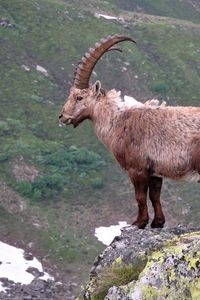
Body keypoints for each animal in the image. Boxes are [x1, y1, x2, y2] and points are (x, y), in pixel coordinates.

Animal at [59, 34, 200, 227]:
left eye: (79, 97)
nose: (62, 116)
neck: (117, 121)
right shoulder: (155, 171)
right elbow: (155, 196)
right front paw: (157, 222)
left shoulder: (136, 168)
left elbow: (139, 197)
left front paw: (139, 222)